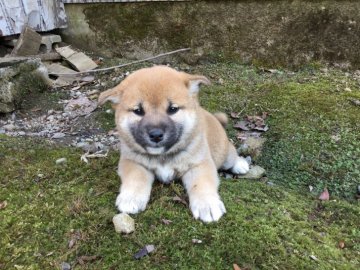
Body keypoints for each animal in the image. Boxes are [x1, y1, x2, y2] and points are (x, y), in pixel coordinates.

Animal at [98, 66, 250, 223]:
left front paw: (207, 204)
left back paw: (240, 164)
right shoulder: (133, 162)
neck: (163, 156)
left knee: (231, 153)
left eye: (172, 109)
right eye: (138, 111)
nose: (156, 135)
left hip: (223, 153)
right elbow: (135, 178)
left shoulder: (199, 165)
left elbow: (202, 183)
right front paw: (131, 197)